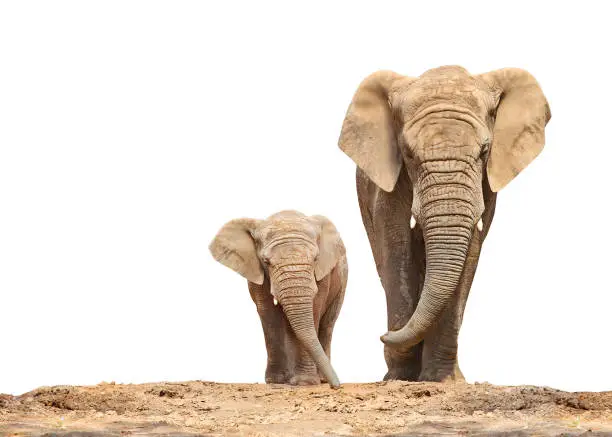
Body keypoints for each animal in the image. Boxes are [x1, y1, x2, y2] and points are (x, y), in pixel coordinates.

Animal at [209, 209, 344, 386]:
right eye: (266, 261)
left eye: (315, 259)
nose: (337, 386)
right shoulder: (256, 271)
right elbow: (268, 313)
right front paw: (276, 380)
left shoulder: (323, 273)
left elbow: (315, 310)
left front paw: (304, 382)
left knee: (328, 324)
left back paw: (319, 378)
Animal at [338, 65, 552, 382]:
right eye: (408, 153)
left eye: (484, 151)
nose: (383, 335)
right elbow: (395, 245)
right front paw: (400, 377)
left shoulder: (485, 184)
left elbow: (470, 249)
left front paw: (442, 380)